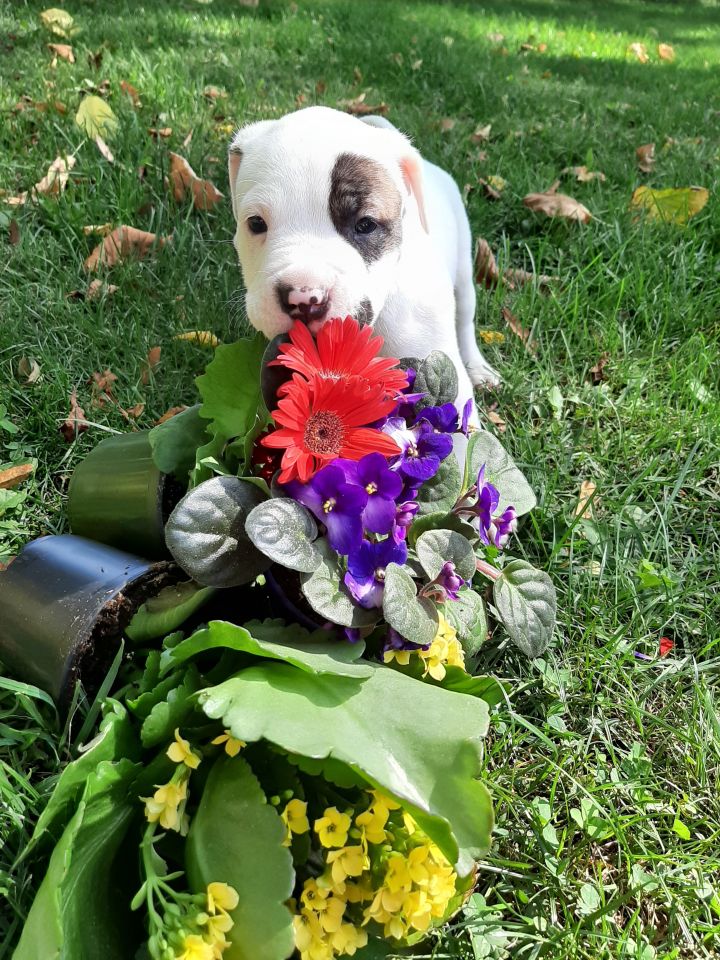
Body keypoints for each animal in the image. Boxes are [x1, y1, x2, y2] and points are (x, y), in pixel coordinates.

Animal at [228, 107, 498, 418]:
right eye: (256, 223)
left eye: (366, 224)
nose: (304, 298)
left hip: (464, 269)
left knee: (465, 318)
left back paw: (479, 368)